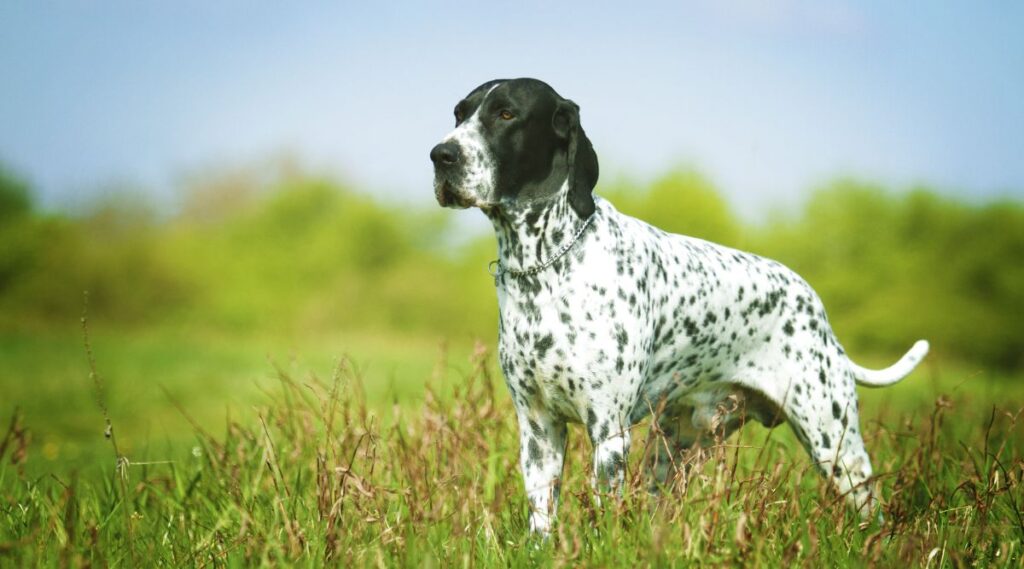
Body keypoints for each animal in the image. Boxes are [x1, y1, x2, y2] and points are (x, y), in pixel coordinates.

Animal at [428, 76, 933, 532]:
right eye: (458, 114)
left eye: (506, 114)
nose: (440, 155)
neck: (546, 267)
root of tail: (816, 307)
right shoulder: (538, 429)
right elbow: (541, 519)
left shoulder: (607, 430)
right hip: (674, 451)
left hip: (836, 447)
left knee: (872, 514)